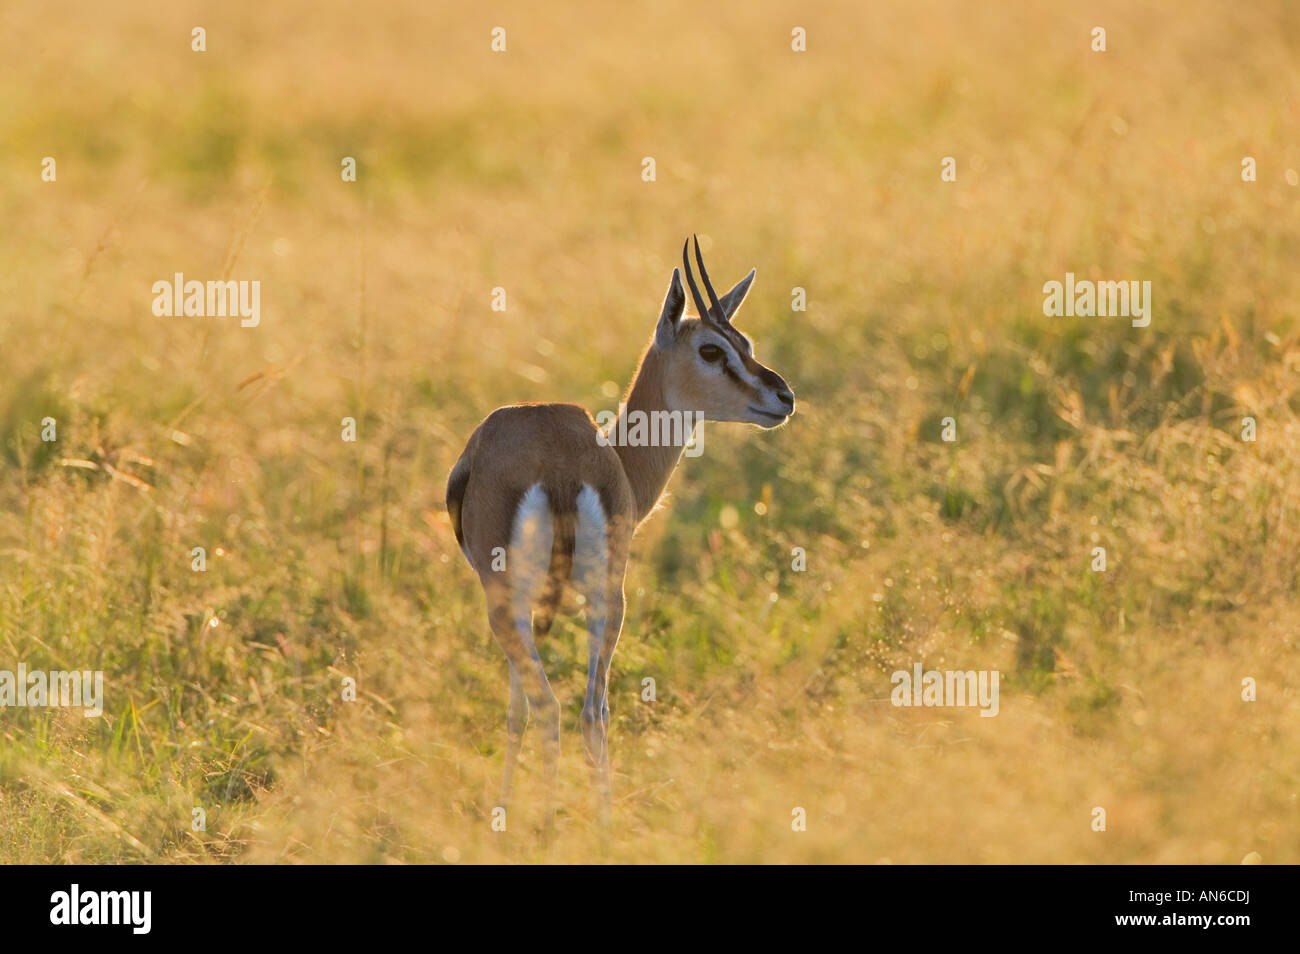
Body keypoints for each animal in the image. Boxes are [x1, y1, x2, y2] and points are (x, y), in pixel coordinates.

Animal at [446, 237, 795, 826]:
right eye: (713, 350)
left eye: (742, 342)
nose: (784, 396)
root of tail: (559, 466)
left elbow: (518, 712)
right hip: (602, 598)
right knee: (589, 713)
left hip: (524, 602)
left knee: (554, 709)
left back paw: (548, 828)